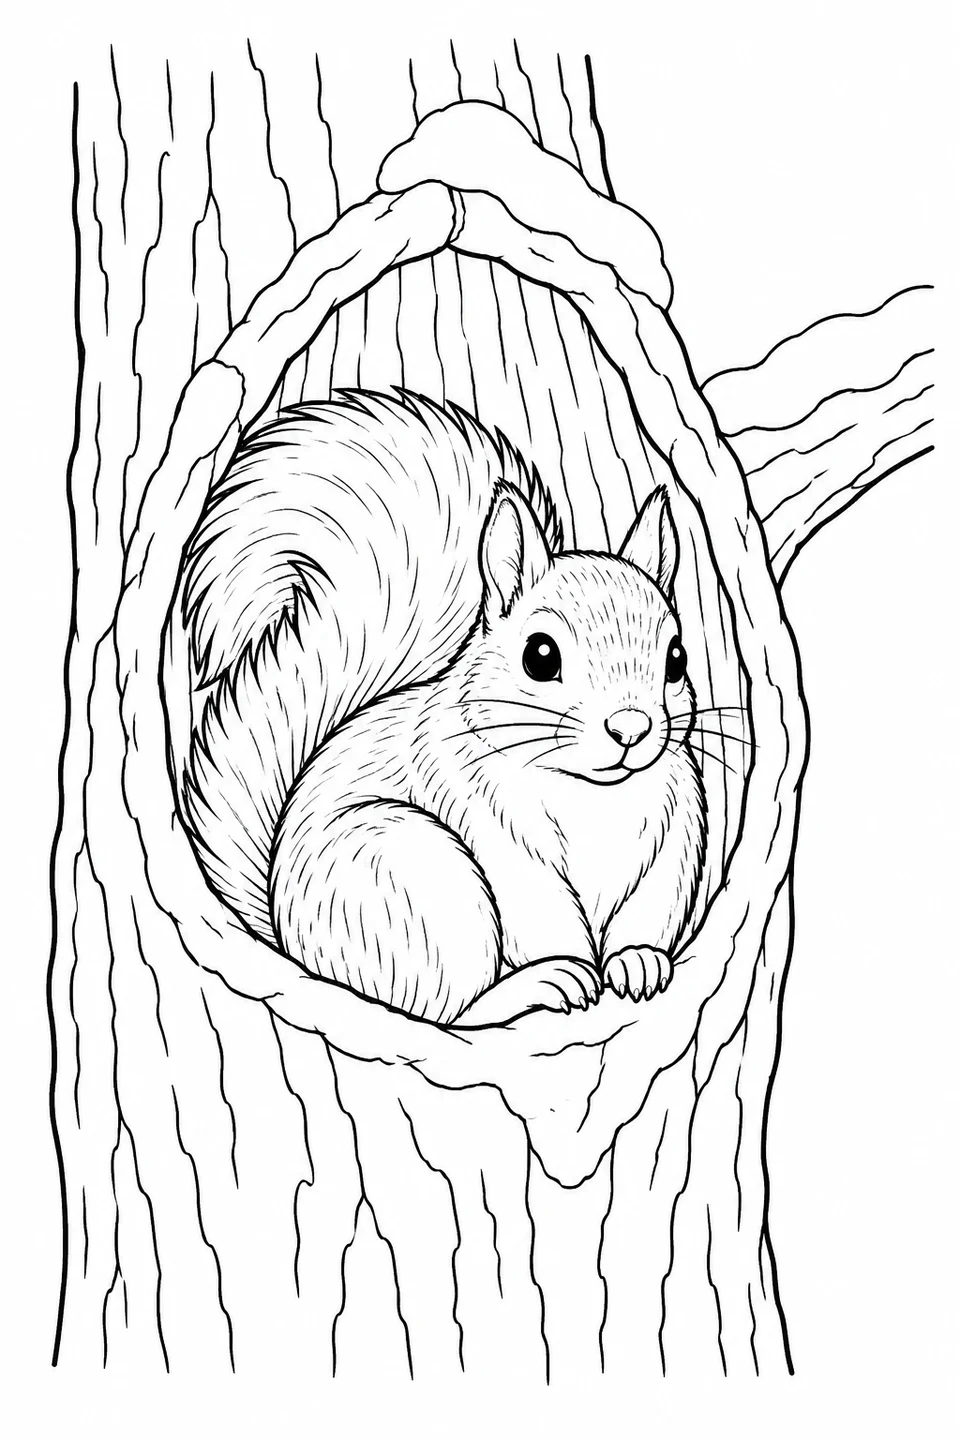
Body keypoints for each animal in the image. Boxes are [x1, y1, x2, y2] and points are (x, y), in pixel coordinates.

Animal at [183, 390, 707, 1027]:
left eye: (677, 657)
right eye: (540, 656)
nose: (630, 729)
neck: (592, 796)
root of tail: (295, 942)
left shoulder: (671, 839)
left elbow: (648, 913)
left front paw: (639, 962)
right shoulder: (495, 827)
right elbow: (545, 916)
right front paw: (574, 968)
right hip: (419, 884)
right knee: (446, 1011)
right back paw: (534, 986)